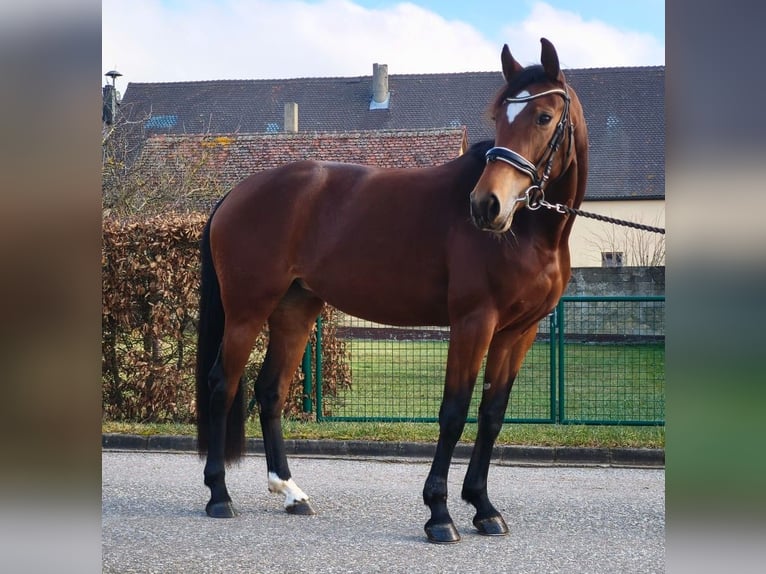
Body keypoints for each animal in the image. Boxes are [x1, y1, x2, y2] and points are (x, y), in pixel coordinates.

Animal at [196, 38, 588, 544]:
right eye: (501, 117)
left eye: (542, 116)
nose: (486, 206)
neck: (530, 233)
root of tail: (235, 194)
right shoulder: (473, 322)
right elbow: (454, 412)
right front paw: (439, 514)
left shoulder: (518, 332)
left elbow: (492, 414)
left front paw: (484, 508)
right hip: (246, 311)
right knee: (222, 385)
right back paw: (218, 496)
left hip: (295, 310)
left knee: (270, 390)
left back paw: (291, 492)